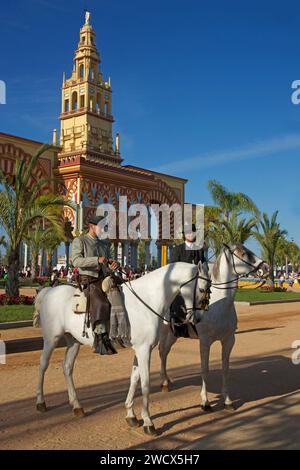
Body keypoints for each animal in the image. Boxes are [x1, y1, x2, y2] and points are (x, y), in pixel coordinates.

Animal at [34, 260, 210, 434]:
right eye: (202, 289)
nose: (198, 318)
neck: (147, 300)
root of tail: (49, 291)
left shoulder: (141, 349)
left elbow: (134, 379)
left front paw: (131, 415)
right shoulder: (144, 350)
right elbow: (145, 384)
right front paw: (148, 422)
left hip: (73, 341)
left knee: (67, 368)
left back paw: (76, 406)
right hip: (51, 339)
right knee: (42, 365)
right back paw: (40, 402)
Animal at [158, 244, 268, 410]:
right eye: (243, 253)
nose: (266, 267)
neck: (220, 303)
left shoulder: (229, 340)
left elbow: (225, 369)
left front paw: (227, 400)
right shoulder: (205, 341)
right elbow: (205, 369)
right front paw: (205, 401)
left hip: (173, 334)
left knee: (164, 352)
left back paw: (166, 380)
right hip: (164, 333)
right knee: (161, 352)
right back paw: (164, 382)